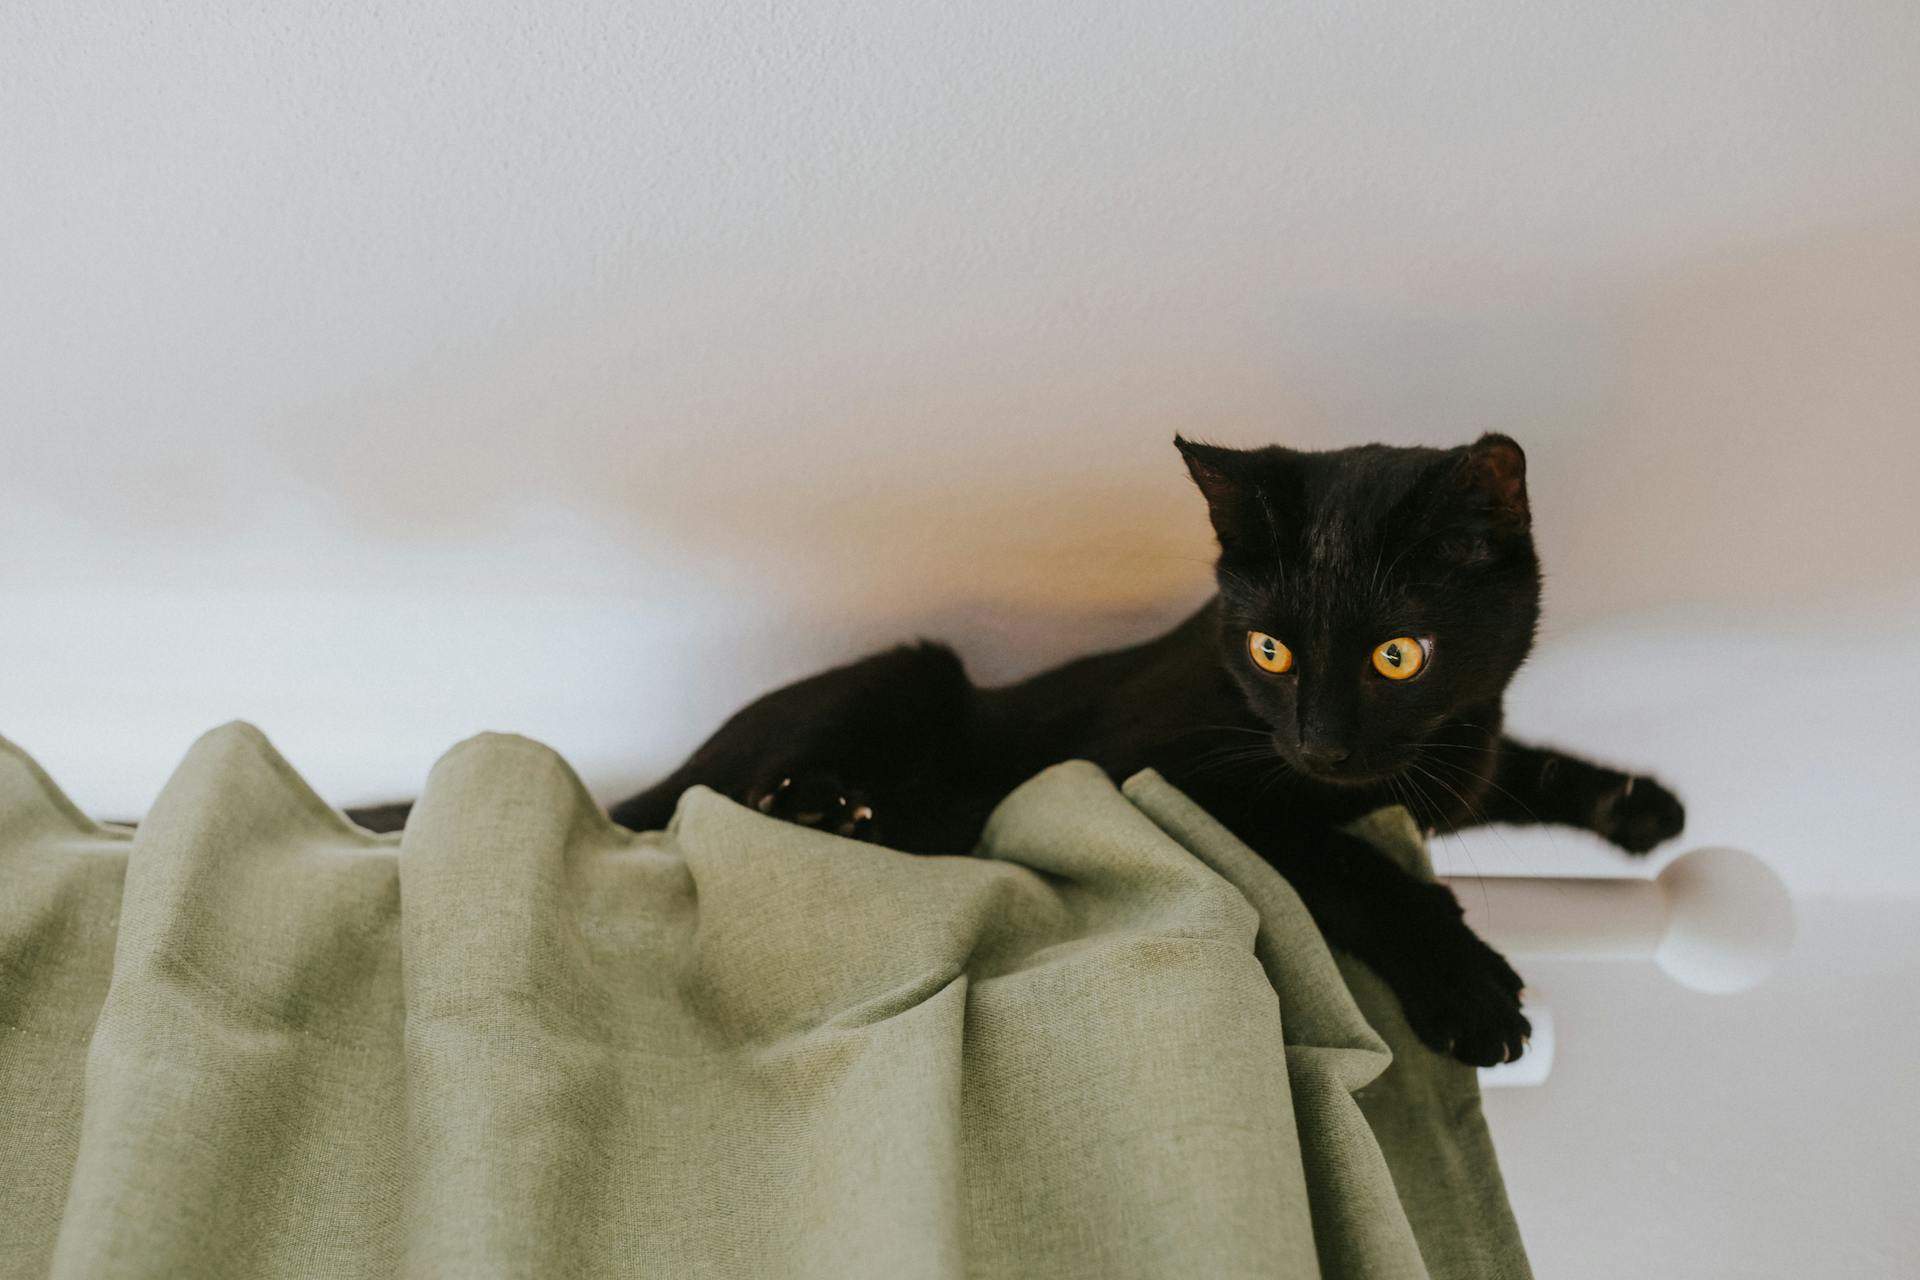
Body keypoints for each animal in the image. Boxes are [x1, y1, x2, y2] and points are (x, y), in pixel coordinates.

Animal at [360, 435, 1681, 1066]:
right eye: (1268, 647)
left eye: (1399, 654)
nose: (1318, 737)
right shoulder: (1168, 771)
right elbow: (1351, 860)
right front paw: (1470, 984)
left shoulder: (1454, 756)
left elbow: (1517, 762)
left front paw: (1642, 804)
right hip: (906, 672)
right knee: (706, 800)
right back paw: (825, 811)